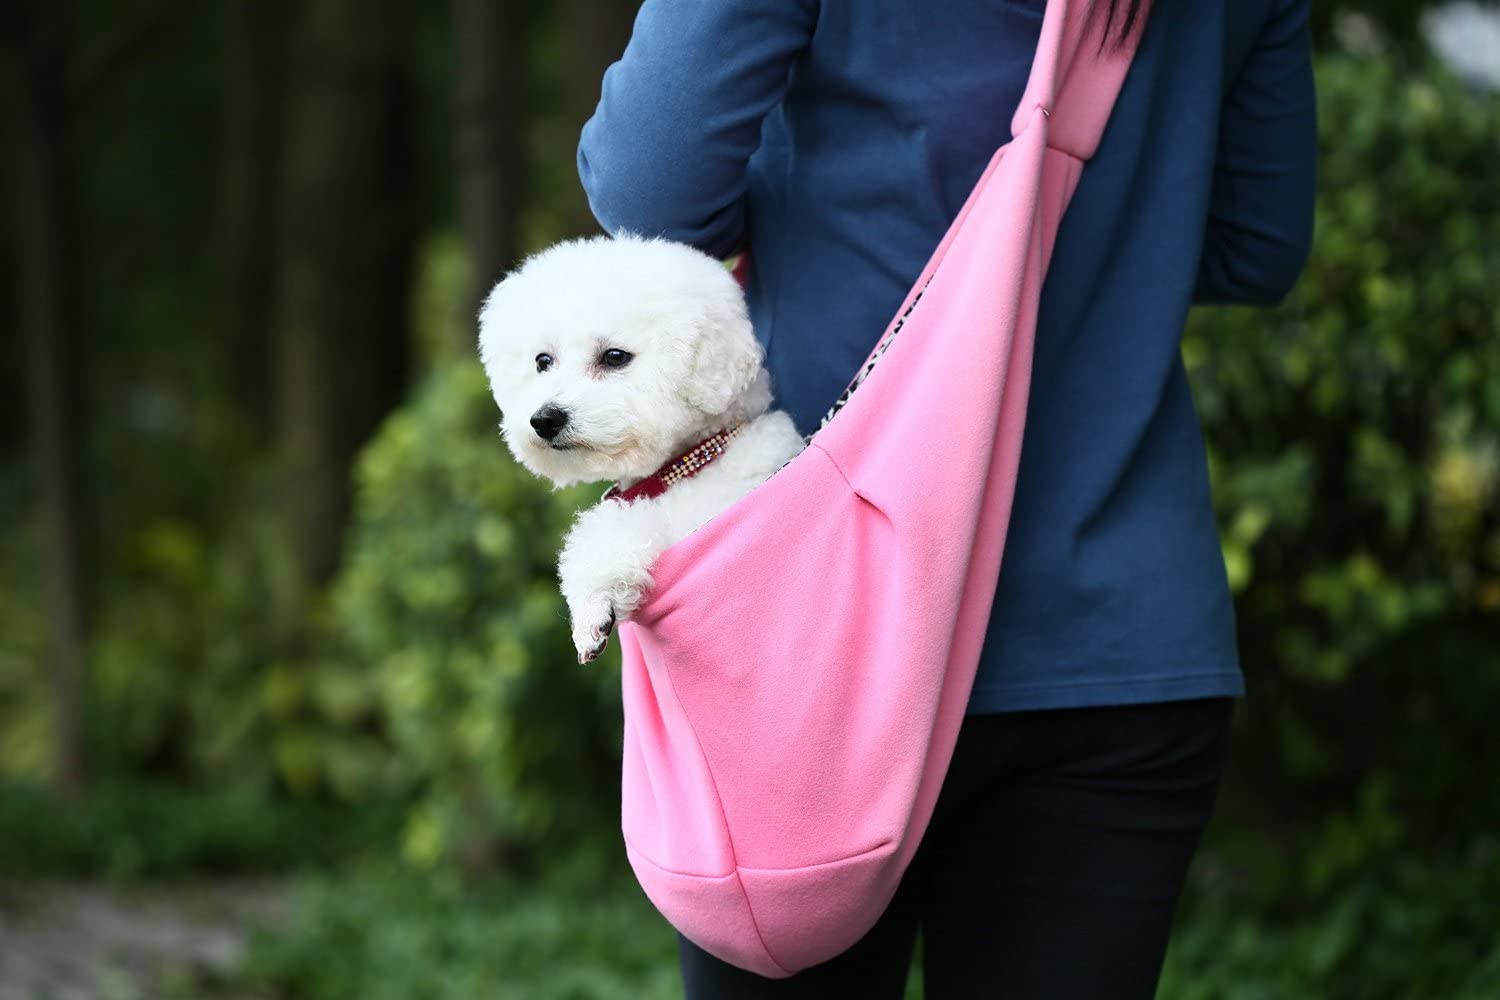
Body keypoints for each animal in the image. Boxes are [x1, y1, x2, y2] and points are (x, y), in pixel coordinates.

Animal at [480, 235, 810, 665]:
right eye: (542, 361)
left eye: (614, 357)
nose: (545, 419)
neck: (690, 461)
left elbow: (622, 526)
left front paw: (592, 605)